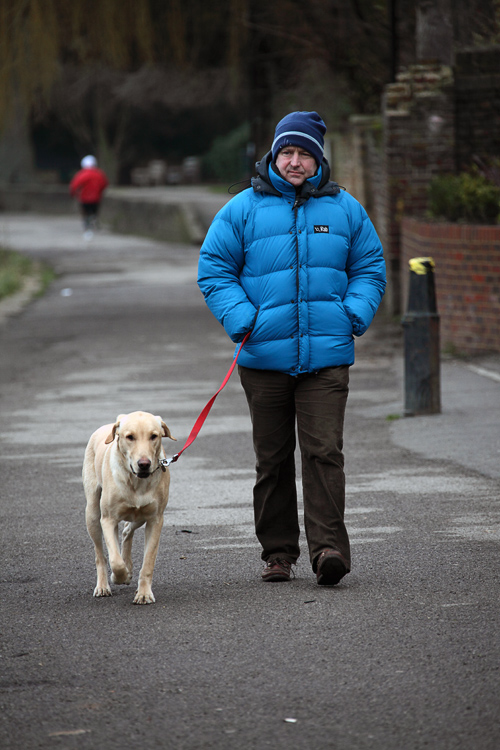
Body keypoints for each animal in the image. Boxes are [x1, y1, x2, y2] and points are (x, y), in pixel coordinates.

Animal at [82, 412, 176, 604]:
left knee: (127, 530)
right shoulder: (108, 519)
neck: (136, 481)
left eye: (153, 436)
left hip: (139, 516)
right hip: (93, 514)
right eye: (130, 437)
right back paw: (103, 585)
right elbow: (115, 561)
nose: (144, 463)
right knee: (100, 554)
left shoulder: (155, 520)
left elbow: (148, 561)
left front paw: (144, 593)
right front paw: (119, 576)